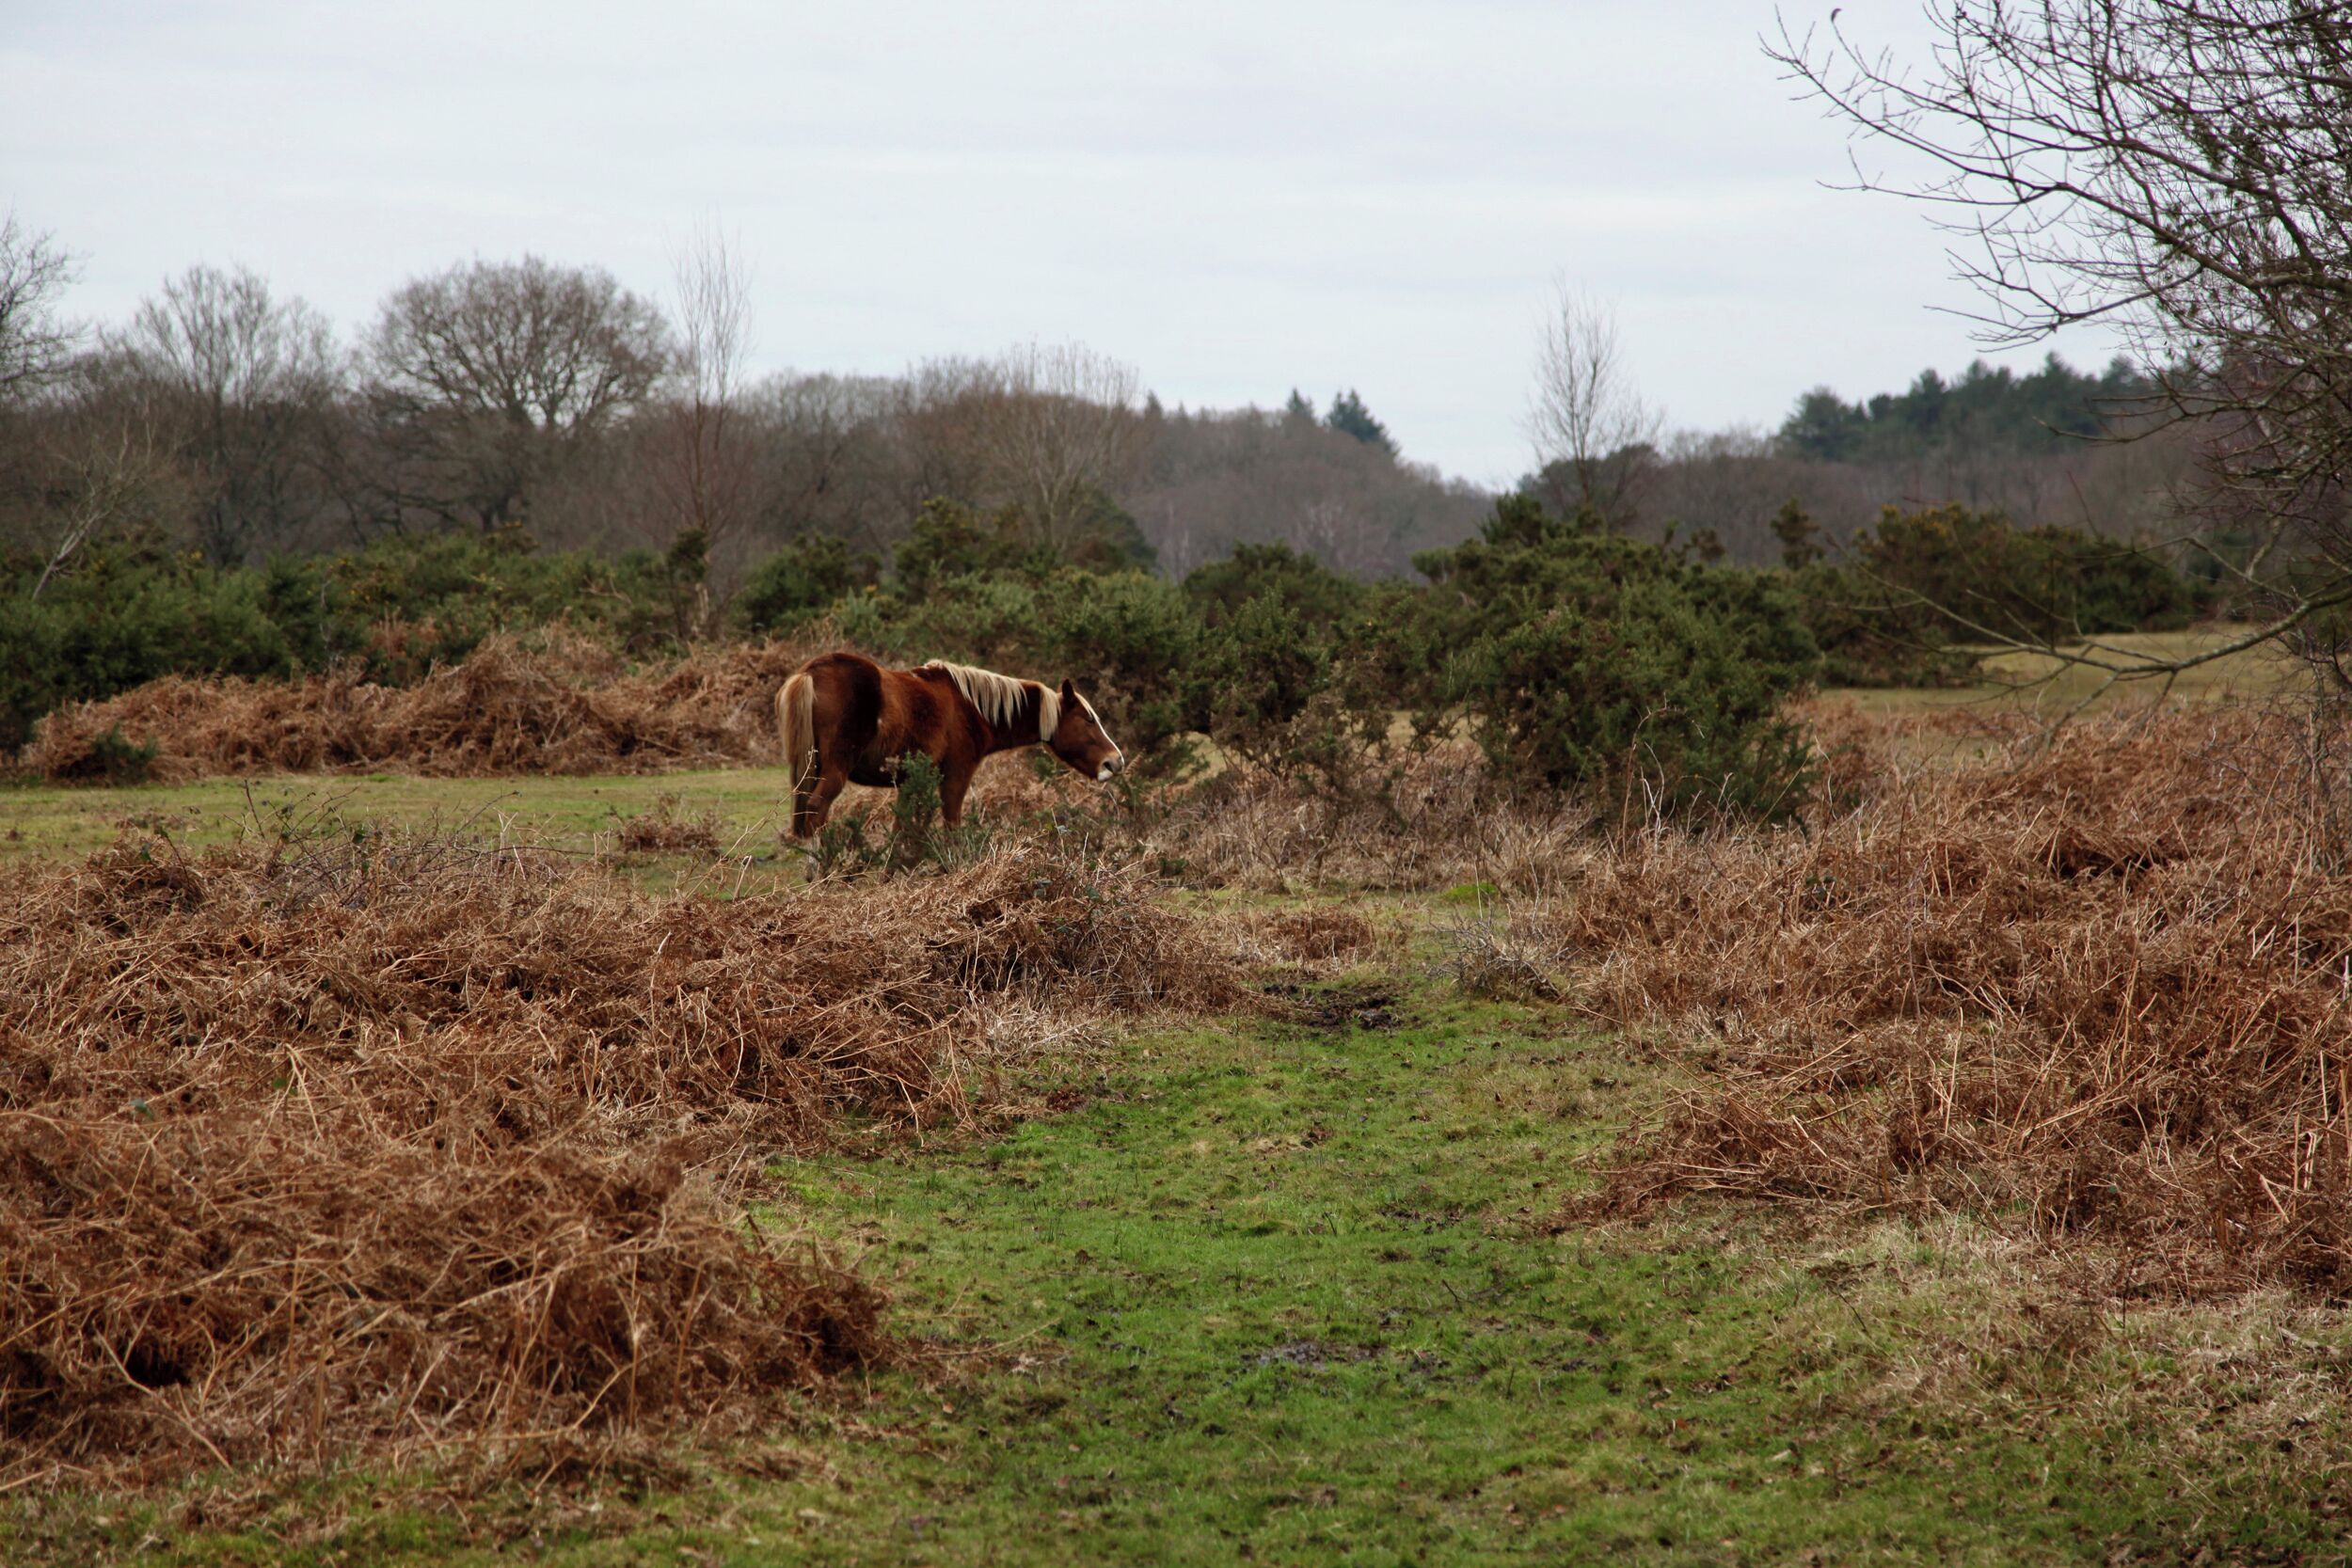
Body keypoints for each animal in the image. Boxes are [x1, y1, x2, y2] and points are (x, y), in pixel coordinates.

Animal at [776, 652, 1126, 839]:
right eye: (1088, 719)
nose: (1115, 761)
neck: (971, 707)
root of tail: (811, 672)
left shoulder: (909, 783)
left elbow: (904, 829)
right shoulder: (956, 775)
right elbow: (951, 824)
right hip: (834, 771)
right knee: (816, 809)